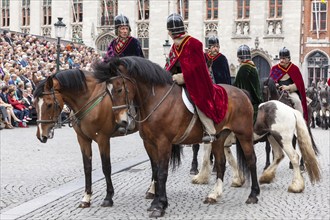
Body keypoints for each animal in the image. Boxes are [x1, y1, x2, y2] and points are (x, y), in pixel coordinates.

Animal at [32, 69, 136, 209]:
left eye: (49, 104)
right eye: (34, 104)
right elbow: (87, 167)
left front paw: (108, 197)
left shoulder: (103, 139)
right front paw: (86, 197)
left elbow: (106, 167)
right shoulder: (83, 139)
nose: (41, 135)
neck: (90, 98)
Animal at [94, 56, 262, 218]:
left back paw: (253, 194)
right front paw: (155, 201)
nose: (121, 121)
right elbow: (155, 171)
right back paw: (214, 195)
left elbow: (162, 173)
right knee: (221, 163)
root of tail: (241, 92)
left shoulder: (164, 143)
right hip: (219, 137)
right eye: (107, 91)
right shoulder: (149, 143)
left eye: (119, 89)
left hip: (244, 134)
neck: (156, 100)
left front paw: (160, 206)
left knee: (251, 160)